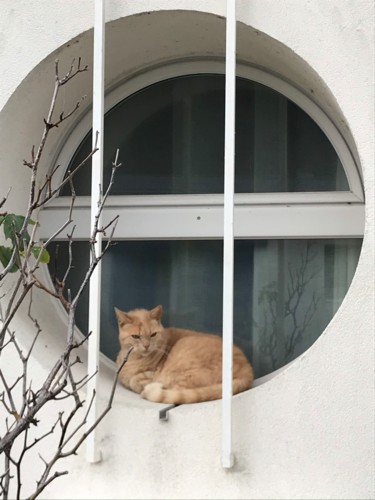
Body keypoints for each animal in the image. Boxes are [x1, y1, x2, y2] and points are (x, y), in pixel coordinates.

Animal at [116, 302, 254, 404]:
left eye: (153, 334)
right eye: (136, 336)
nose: (146, 346)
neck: (133, 359)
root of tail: (247, 368)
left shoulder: (152, 374)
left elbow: (134, 380)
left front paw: (139, 385)